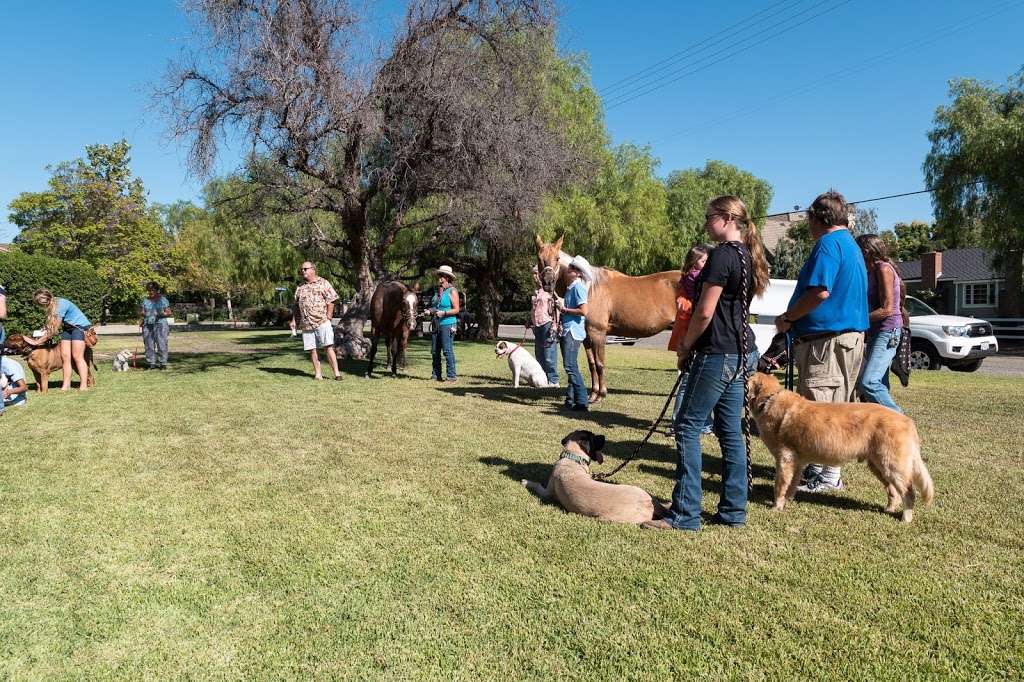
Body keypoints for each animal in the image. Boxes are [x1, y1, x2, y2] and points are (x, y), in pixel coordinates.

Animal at [520, 430, 671, 520]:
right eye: (594, 437)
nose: (604, 436)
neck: (573, 458)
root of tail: (649, 504)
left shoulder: (547, 492)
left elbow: (537, 485)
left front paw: (526, 481)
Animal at [536, 236, 679, 401]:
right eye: (539, 258)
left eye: (557, 258)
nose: (548, 282)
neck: (590, 288)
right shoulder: (586, 337)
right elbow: (592, 364)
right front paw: (593, 394)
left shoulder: (598, 333)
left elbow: (600, 363)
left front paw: (601, 394)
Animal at [745, 372, 937, 520]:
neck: (769, 399)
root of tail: (908, 421)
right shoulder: (798, 462)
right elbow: (792, 485)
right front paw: (788, 501)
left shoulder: (785, 458)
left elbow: (780, 485)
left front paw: (776, 506)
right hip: (878, 465)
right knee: (893, 491)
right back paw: (889, 509)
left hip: (892, 464)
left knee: (909, 493)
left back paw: (905, 518)